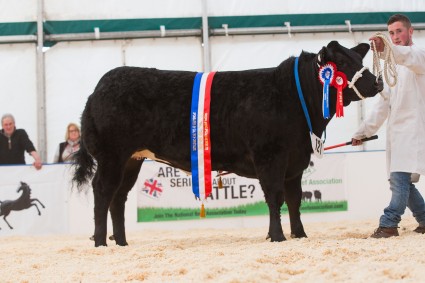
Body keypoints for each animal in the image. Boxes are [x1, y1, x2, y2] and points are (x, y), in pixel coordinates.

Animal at [74, 40, 382, 246]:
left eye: (358, 59)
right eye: (343, 64)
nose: (377, 83)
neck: (297, 98)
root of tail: (99, 88)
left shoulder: (296, 160)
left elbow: (294, 200)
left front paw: (300, 234)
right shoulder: (270, 155)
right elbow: (275, 197)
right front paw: (278, 236)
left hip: (132, 159)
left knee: (119, 197)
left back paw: (121, 242)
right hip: (113, 155)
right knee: (103, 191)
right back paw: (100, 242)